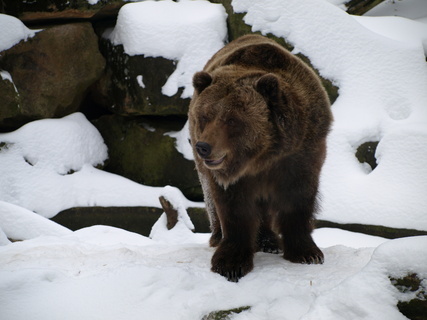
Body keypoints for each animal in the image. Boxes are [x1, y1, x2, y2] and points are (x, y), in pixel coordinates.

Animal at [189, 33, 332, 282]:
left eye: (232, 120)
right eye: (205, 116)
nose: (203, 147)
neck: (263, 156)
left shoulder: (301, 152)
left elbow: (299, 198)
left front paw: (307, 253)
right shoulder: (233, 175)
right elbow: (233, 207)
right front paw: (230, 262)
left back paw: (268, 241)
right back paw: (219, 236)